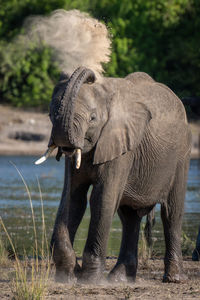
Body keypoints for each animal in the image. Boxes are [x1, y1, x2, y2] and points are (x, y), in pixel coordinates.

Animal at [36, 67, 191, 284]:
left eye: (92, 118)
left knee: (171, 213)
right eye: (50, 114)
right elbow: (73, 198)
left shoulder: (122, 146)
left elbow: (102, 198)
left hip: (181, 154)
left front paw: (88, 280)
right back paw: (119, 279)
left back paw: (174, 279)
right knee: (129, 217)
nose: (90, 74)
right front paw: (67, 277)